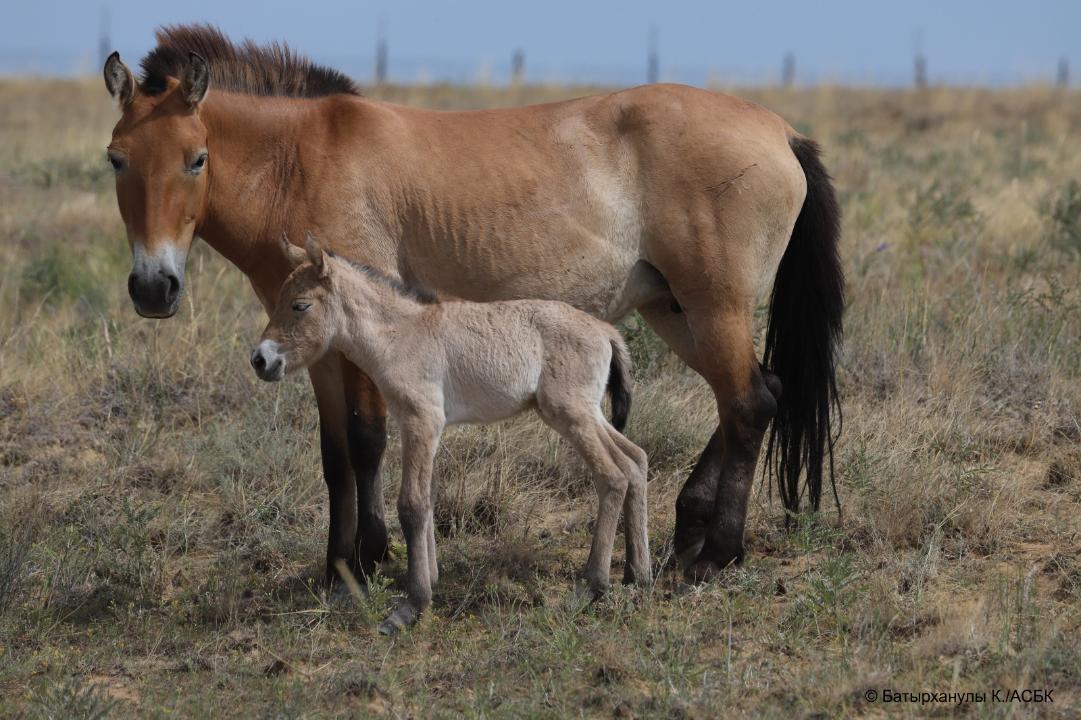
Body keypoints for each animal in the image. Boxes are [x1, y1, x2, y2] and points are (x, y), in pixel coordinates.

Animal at [103, 24, 842, 585]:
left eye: (197, 158)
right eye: (116, 159)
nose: (153, 288)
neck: (300, 160)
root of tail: (781, 132)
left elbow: (367, 441)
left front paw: (368, 559)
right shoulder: (316, 349)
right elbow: (334, 453)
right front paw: (335, 566)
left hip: (712, 306)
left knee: (749, 403)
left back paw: (716, 553)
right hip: (675, 310)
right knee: (759, 392)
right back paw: (688, 526)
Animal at [252, 234, 649, 633]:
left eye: (300, 305)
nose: (260, 360)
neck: (399, 336)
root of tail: (605, 331)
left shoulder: (421, 420)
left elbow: (411, 504)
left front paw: (411, 606)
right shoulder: (420, 425)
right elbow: (427, 498)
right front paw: (430, 581)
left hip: (571, 414)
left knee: (612, 476)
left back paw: (592, 586)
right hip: (587, 413)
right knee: (635, 461)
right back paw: (637, 574)